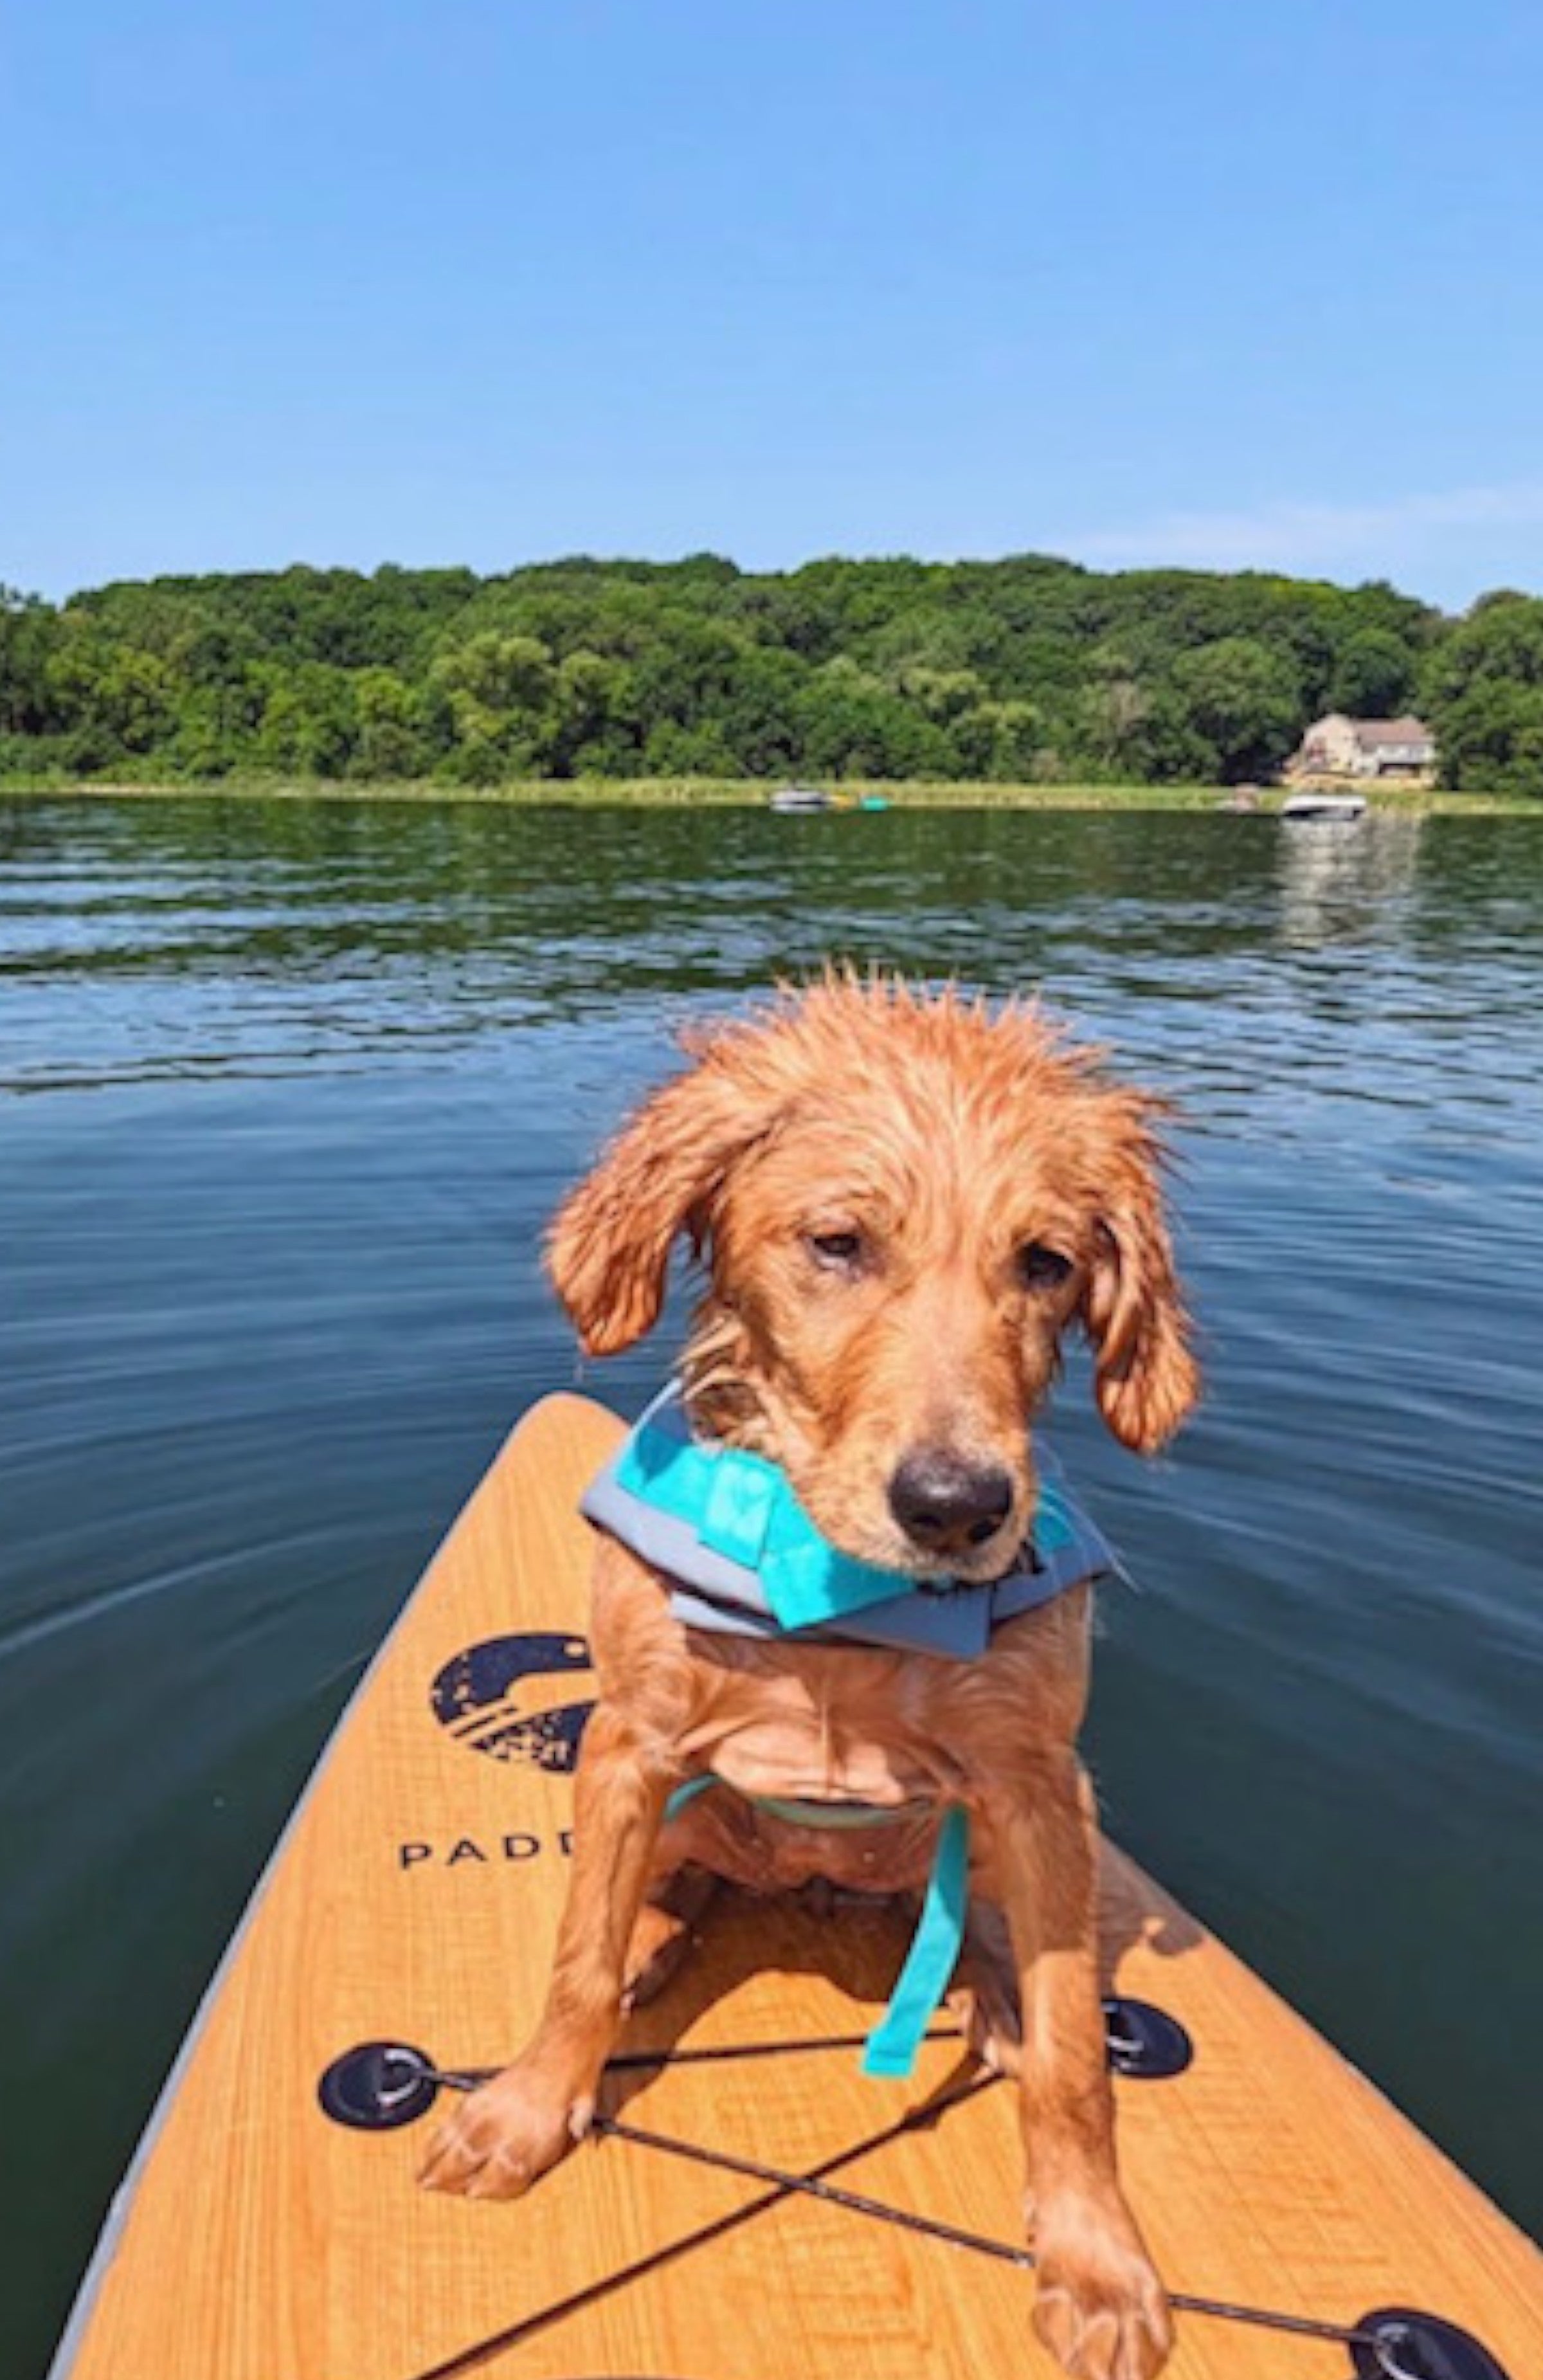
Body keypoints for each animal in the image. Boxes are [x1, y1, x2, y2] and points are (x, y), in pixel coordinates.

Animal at [424, 971, 1205, 2380]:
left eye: (1046, 1262)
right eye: (838, 1242)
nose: (958, 1506)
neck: (841, 1601)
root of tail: (819, 1885)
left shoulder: (1035, 1782)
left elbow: (1077, 2062)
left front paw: (1095, 2257)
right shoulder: (627, 1737)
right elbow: (575, 1956)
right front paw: (524, 2109)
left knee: (993, 1945)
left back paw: (992, 1993)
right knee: (653, 1891)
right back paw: (656, 1933)